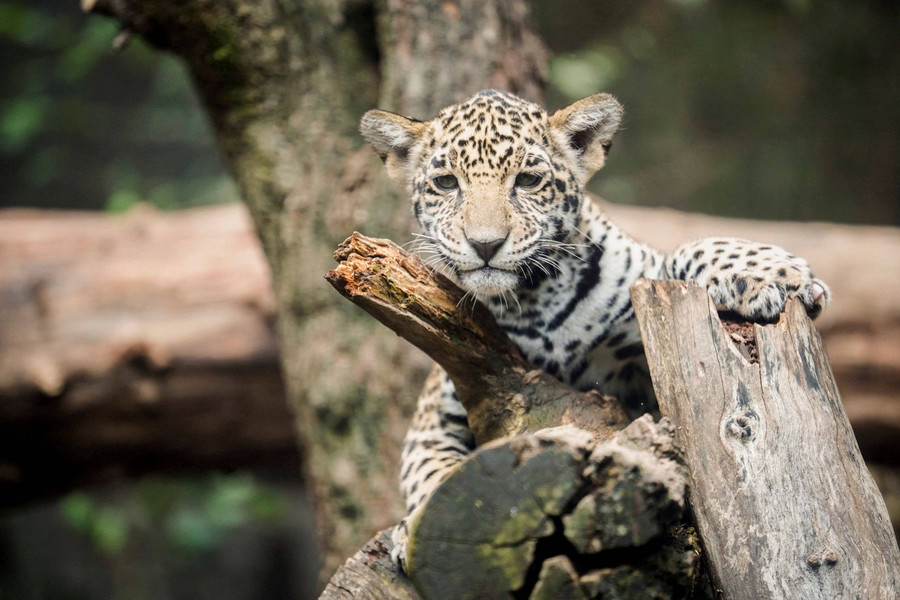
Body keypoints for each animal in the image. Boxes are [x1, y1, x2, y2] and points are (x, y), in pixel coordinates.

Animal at [360, 89, 830, 569]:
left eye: (528, 181)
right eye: (446, 183)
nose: (485, 244)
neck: (532, 304)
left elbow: (677, 257)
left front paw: (775, 272)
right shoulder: (437, 413)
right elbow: (431, 475)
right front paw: (416, 527)